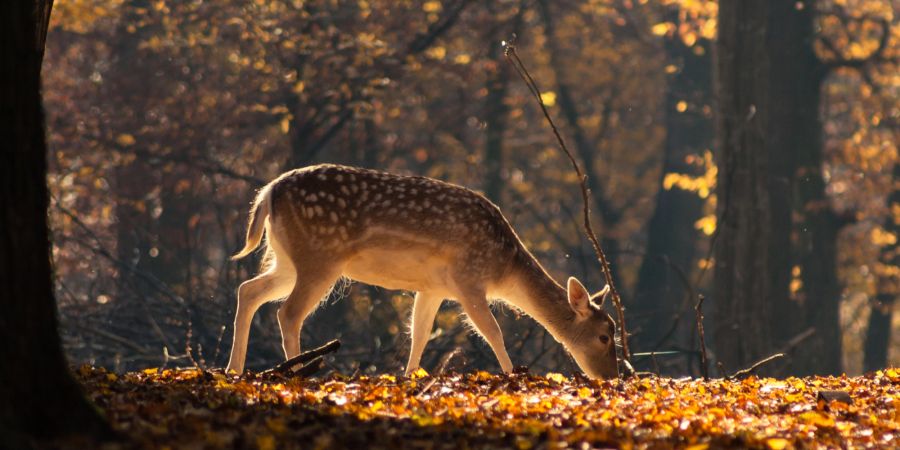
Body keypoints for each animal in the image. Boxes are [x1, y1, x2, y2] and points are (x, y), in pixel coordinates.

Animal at [226, 164, 619, 379]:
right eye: (604, 336)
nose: (611, 377)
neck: (503, 267)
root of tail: (267, 193)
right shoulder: (467, 278)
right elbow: (492, 331)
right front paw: (514, 374)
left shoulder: (433, 288)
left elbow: (419, 332)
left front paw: (409, 376)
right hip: (319, 257)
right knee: (288, 312)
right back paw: (297, 371)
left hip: (286, 259)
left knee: (248, 289)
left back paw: (233, 369)